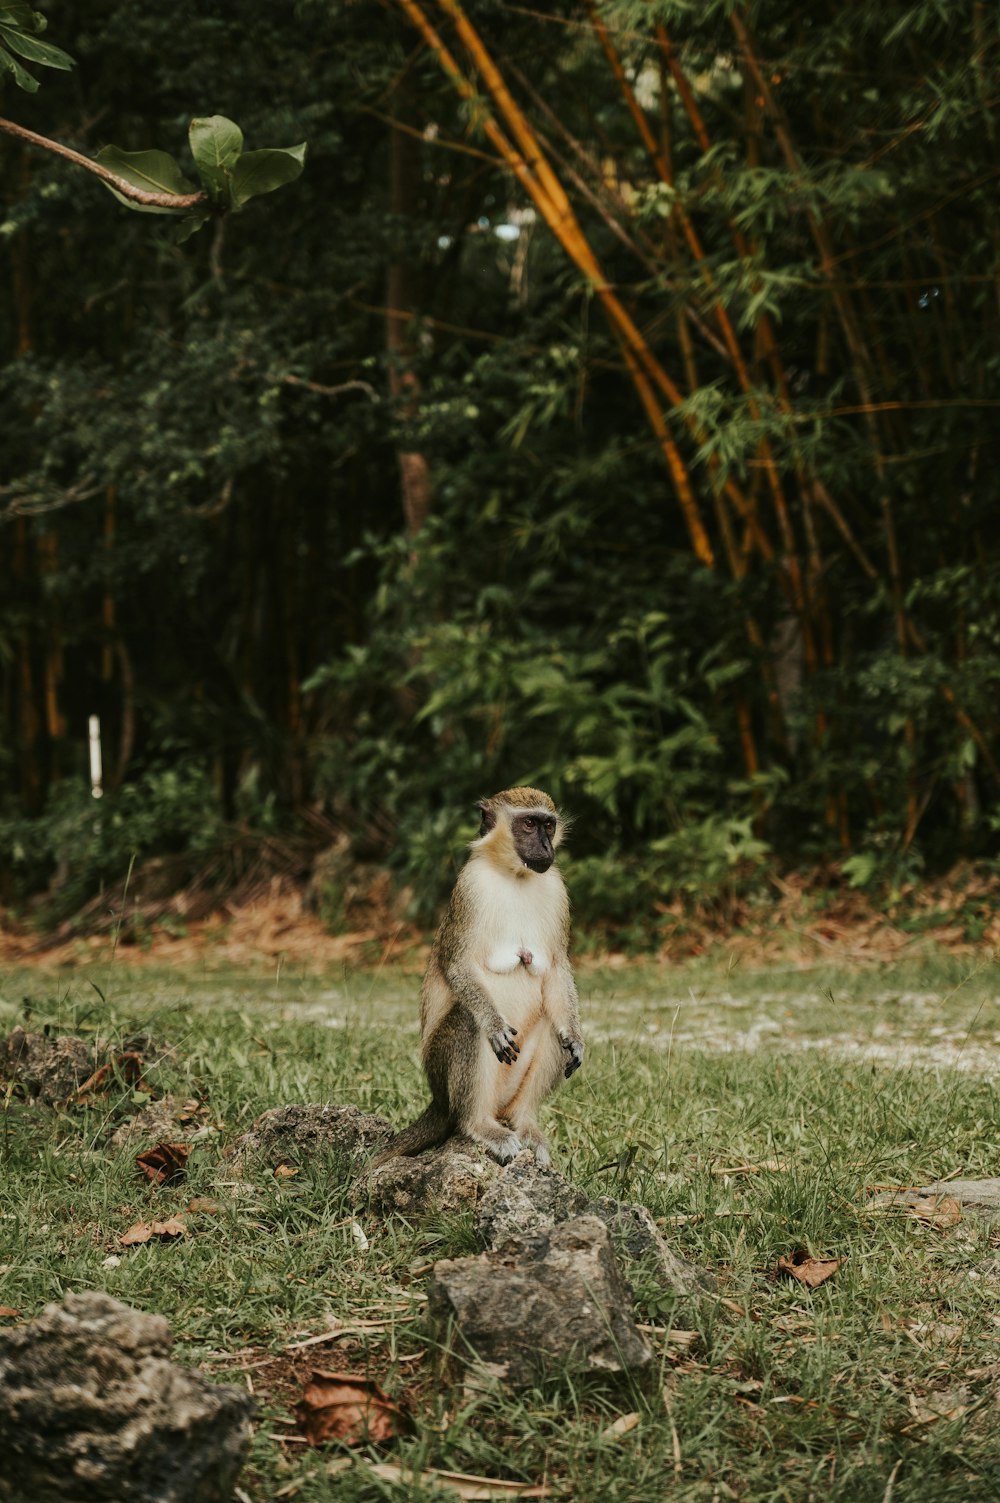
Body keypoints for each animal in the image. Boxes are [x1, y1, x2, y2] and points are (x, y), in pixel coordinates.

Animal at [369, 787, 580, 1172]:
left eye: (548, 825)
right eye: (529, 824)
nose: (545, 847)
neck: (514, 875)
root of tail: (439, 1102)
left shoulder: (558, 891)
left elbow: (557, 969)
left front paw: (576, 1036)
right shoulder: (470, 888)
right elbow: (458, 966)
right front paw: (494, 1024)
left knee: (551, 1027)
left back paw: (525, 1123)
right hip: (440, 1073)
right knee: (467, 1021)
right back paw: (478, 1124)